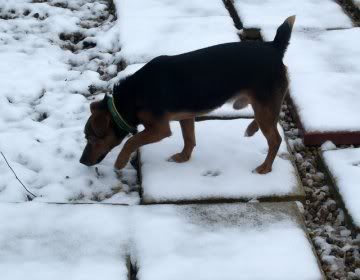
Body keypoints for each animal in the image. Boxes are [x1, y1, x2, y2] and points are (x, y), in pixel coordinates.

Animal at [81, 15, 296, 174]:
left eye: (91, 138)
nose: (82, 161)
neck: (131, 97)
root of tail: (274, 47)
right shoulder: (186, 117)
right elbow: (189, 140)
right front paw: (183, 158)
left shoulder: (159, 129)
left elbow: (131, 141)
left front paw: (120, 161)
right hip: (263, 105)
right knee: (270, 119)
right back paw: (251, 129)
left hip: (264, 105)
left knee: (275, 139)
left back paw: (265, 167)